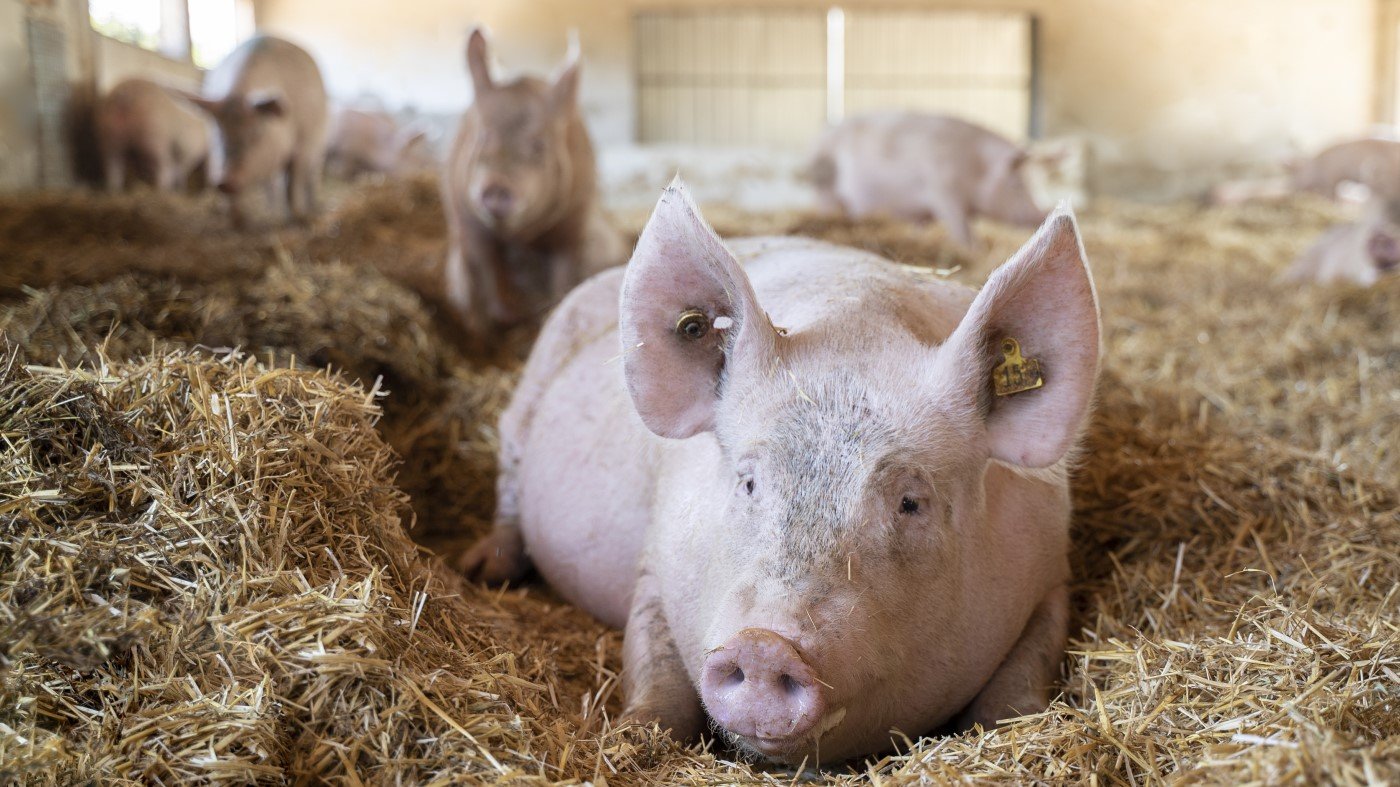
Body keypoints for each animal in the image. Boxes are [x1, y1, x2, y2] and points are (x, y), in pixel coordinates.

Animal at [182, 36, 329, 226]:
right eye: (218, 134)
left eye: (256, 134)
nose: (224, 181)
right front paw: (239, 222)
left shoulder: (304, 143)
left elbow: (293, 182)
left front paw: (300, 218)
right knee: (272, 183)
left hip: (320, 145)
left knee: (312, 175)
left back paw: (315, 209)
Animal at [439, 29, 621, 340]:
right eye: (483, 136)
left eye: (539, 144)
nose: (496, 185)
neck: (521, 235)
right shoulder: (465, 215)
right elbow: (488, 264)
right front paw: (505, 317)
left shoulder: (574, 218)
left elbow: (563, 270)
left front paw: (547, 316)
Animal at [464, 179, 1097, 761]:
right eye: (748, 483)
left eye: (910, 502)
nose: (764, 646)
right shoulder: (653, 563)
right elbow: (656, 672)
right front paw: (629, 738)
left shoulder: (1051, 573)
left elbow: (1016, 691)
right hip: (527, 399)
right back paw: (482, 569)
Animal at [806, 112, 1047, 246]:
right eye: (1017, 185)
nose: (1040, 214)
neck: (975, 166)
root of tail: (820, 136)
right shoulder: (944, 194)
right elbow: (963, 230)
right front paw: (974, 249)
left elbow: (921, 227)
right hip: (825, 189)